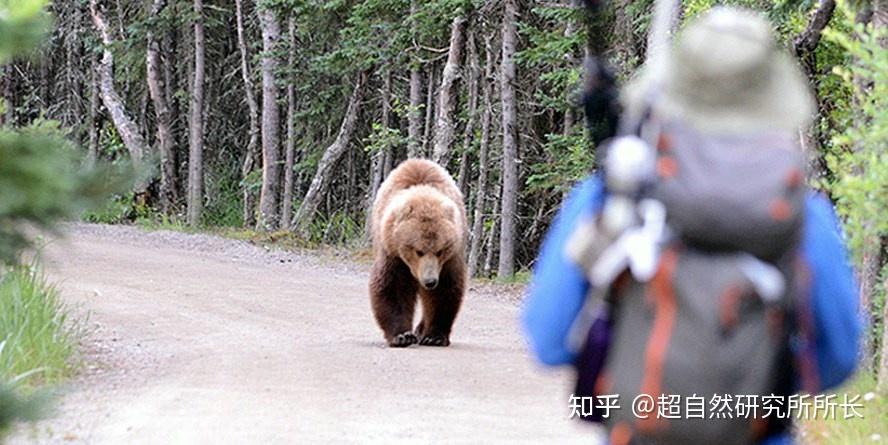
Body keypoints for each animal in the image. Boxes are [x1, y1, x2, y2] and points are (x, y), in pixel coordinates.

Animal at [368, 159, 468, 346]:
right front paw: (402, 335)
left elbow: (443, 291)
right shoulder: (393, 253)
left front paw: (434, 336)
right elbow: (393, 287)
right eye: (418, 251)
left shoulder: (448, 260)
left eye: (440, 250)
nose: (430, 281)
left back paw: (421, 330)